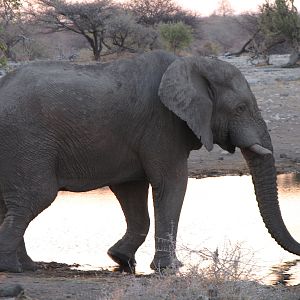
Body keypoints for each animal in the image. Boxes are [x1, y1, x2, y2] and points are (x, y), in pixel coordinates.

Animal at [0, 50, 300, 274]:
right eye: (240, 108)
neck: (191, 63)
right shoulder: (163, 124)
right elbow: (172, 184)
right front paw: (171, 268)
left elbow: (132, 191)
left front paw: (120, 258)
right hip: (26, 140)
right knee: (35, 197)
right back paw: (13, 268)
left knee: (11, 203)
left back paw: (27, 266)